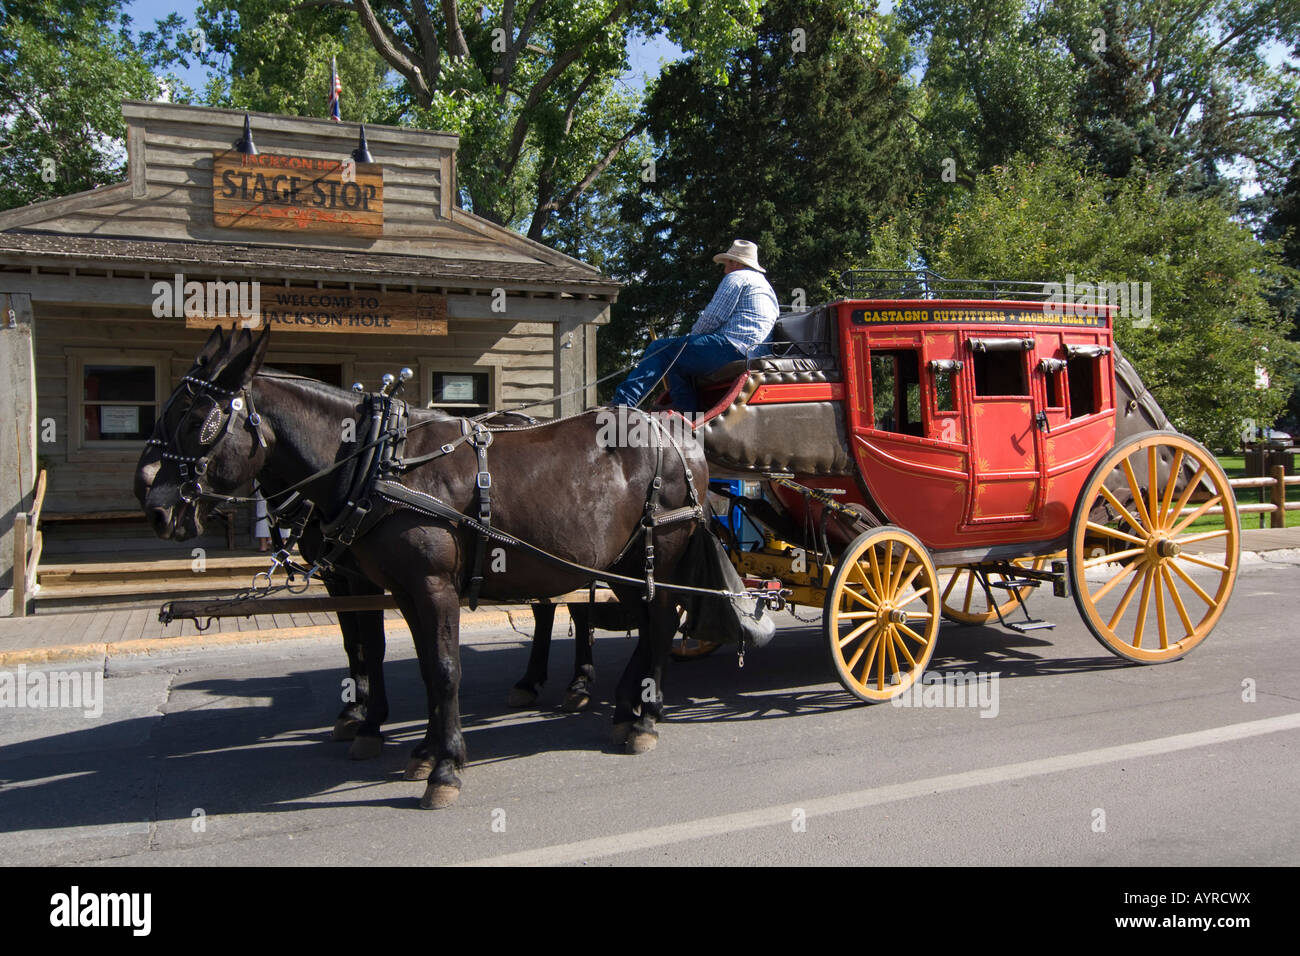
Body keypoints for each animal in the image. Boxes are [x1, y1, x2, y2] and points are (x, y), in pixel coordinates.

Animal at [139, 325, 722, 811]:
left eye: (195, 419)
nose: (154, 506)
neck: (376, 465)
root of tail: (676, 431)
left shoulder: (430, 586)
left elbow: (442, 669)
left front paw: (443, 768)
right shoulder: (392, 588)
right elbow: (399, 659)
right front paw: (412, 746)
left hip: (657, 554)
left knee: (658, 622)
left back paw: (642, 715)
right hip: (620, 563)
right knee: (628, 622)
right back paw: (623, 707)